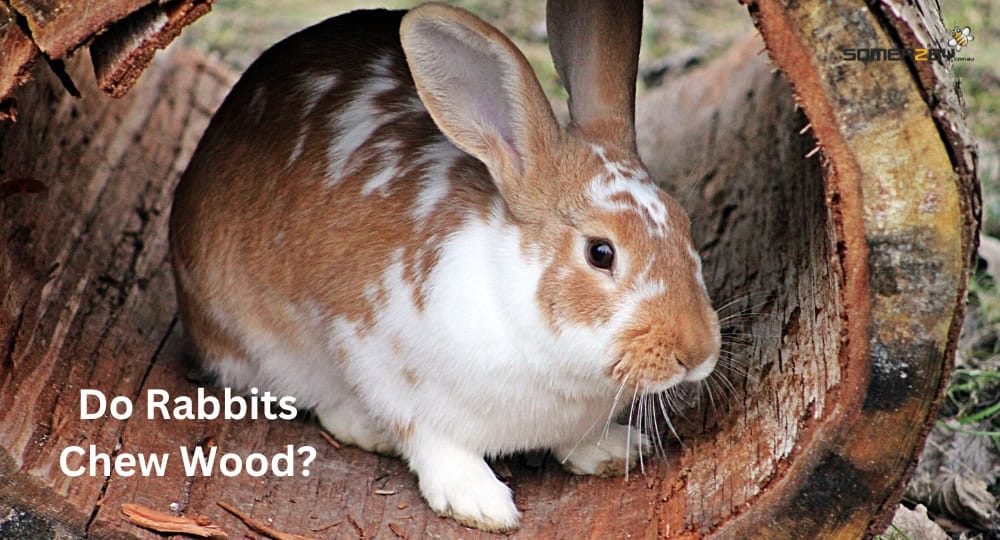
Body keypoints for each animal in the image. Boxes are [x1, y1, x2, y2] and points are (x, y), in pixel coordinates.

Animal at [169, 0, 720, 532]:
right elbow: (432, 440)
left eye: (683, 221)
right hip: (264, 344)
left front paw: (613, 450)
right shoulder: (384, 366)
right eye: (600, 252)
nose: (697, 352)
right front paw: (480, 503)